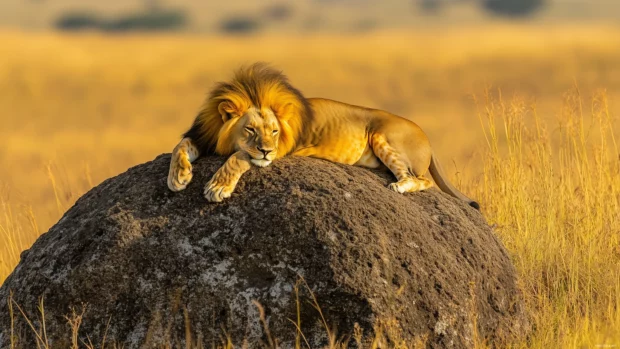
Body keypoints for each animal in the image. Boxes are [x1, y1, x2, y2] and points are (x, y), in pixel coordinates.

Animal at [166, 61, 480, 209]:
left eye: (275, 131)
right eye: (250, 129)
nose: (266, 149)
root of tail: (427, 137)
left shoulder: (281, 150)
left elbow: (240, 156)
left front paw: (218, 187)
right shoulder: (203, 135)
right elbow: (180, 145)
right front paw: (178, 176)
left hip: (382, 135)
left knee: (421, 179)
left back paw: (400, 187)